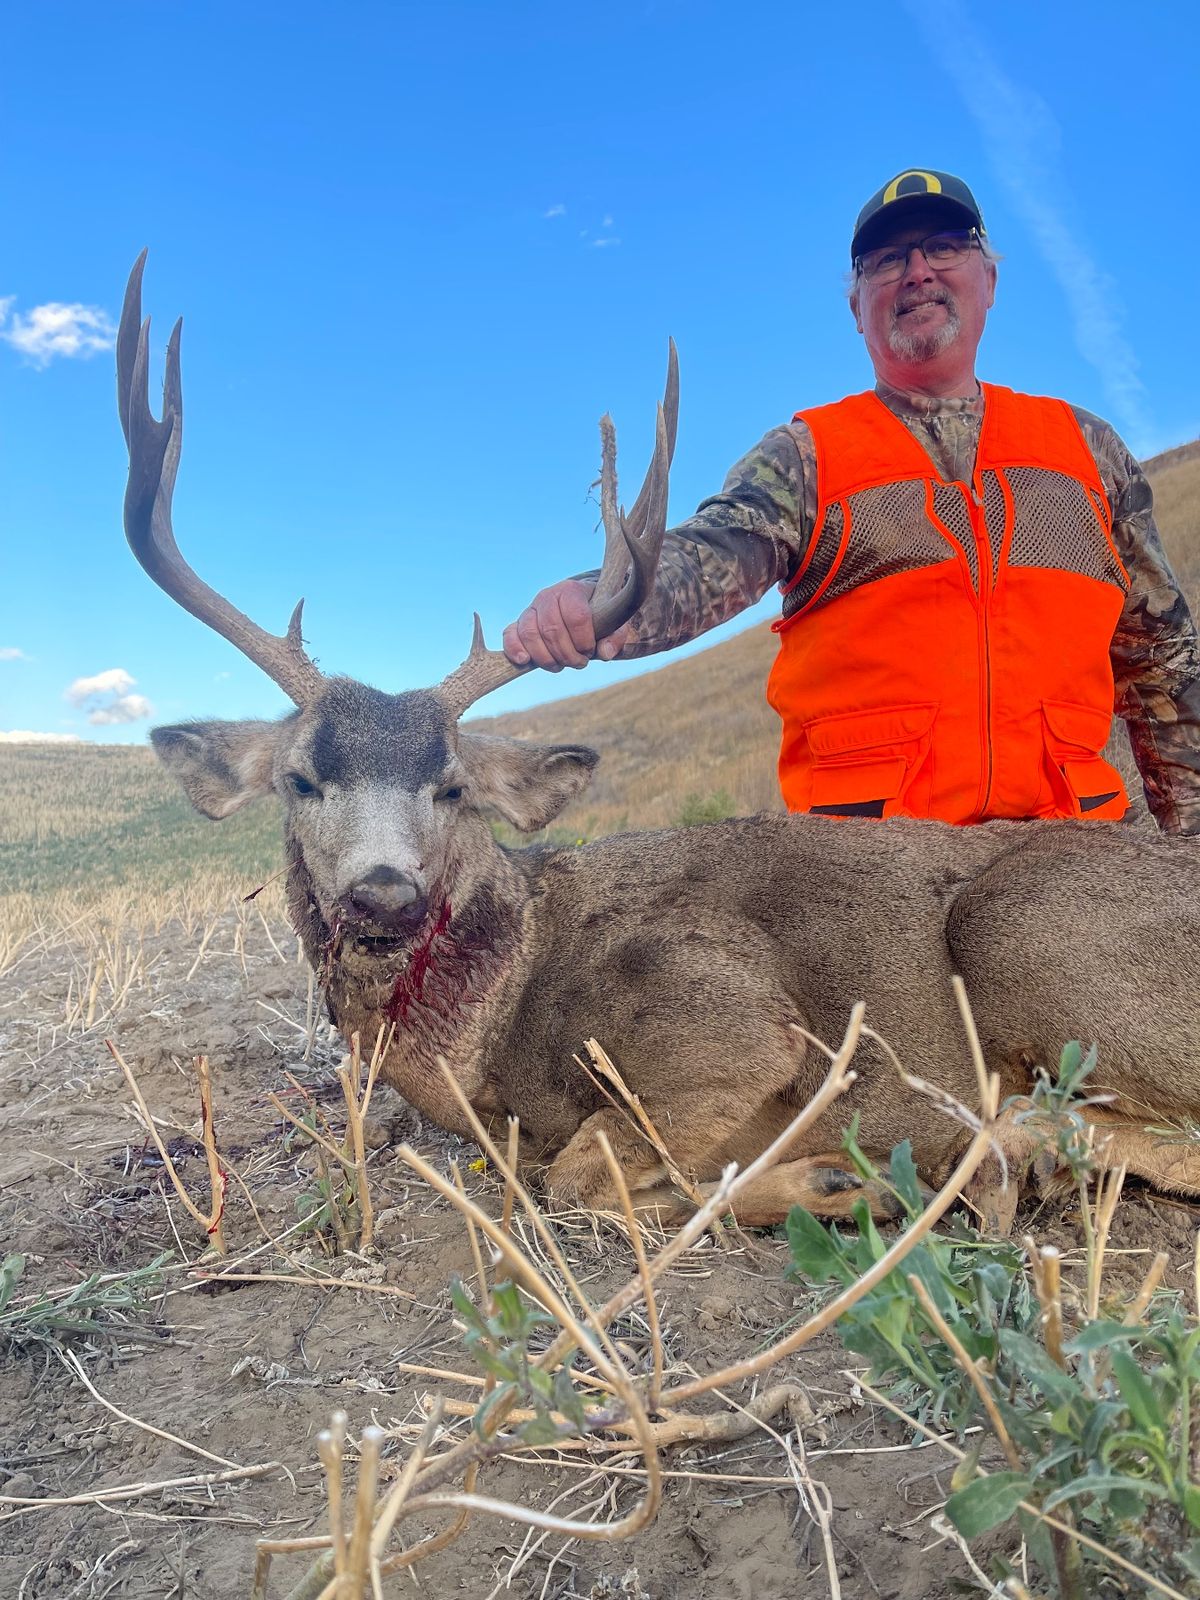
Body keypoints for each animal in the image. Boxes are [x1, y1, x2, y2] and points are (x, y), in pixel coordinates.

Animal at [117, 253, 1200, 1234]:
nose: (384, 894)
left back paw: (987, 1163)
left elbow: (577, 1177)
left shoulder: (729, 1024)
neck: (494, 1030)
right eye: (302, 779)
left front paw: (832, 1179)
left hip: (1025, 931)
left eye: (453, 786)